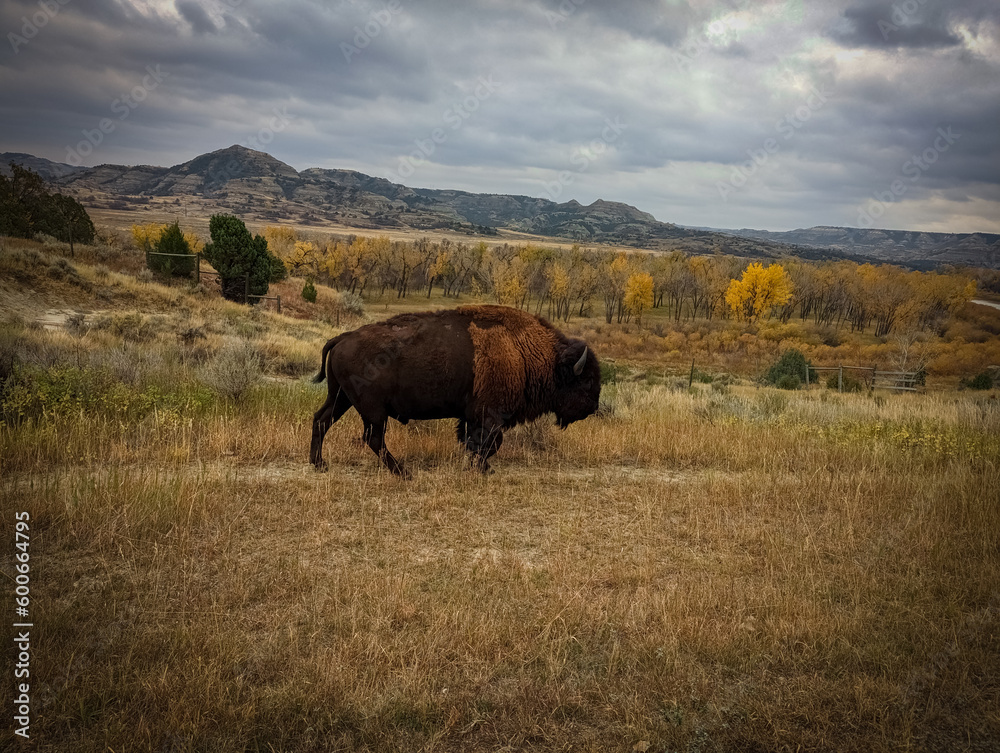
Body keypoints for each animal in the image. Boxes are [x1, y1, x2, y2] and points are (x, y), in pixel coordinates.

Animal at [310, 304, 601, 476]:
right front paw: (483, 469)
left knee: (321, 420)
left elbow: (475, 441)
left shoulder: (472, 416)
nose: (593, 407)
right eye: (586, 381)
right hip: (372, 409)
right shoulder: (490, 415)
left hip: (341, 397)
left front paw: (477, 465)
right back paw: (403, 472)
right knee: (373, 437)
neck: (523, 351)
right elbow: (489, 442)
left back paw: (319, 464)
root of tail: (343, 337)